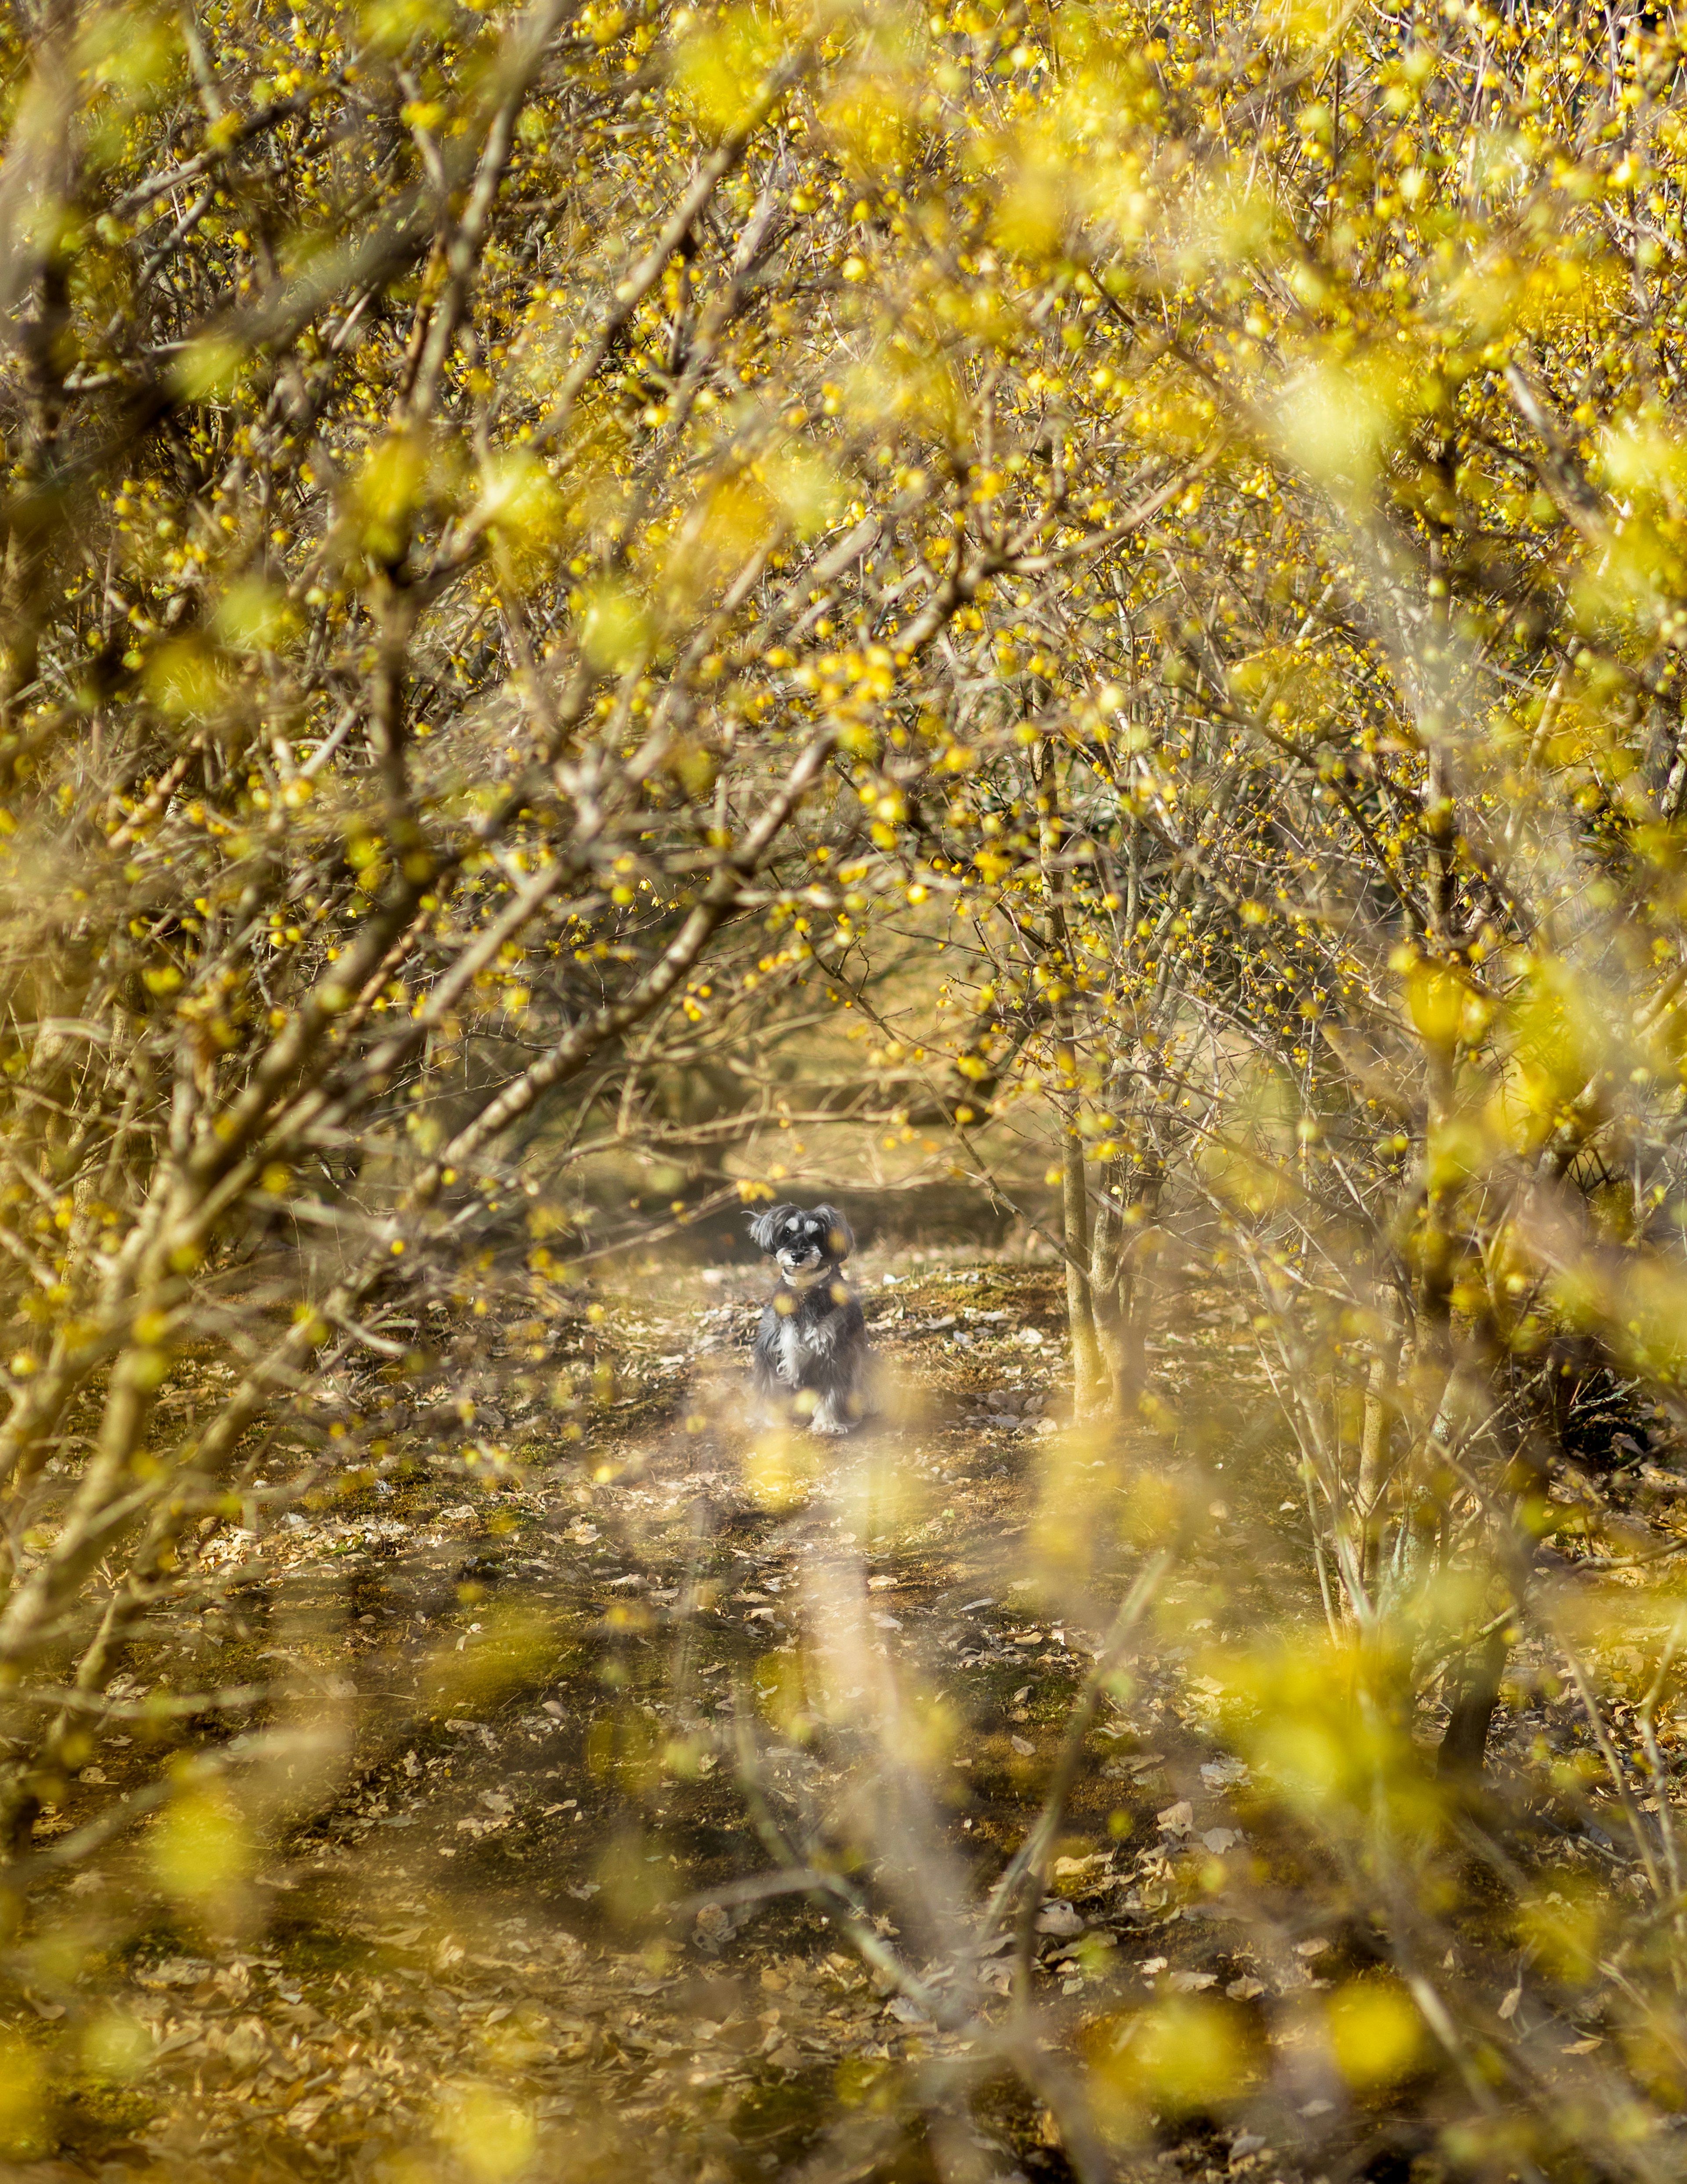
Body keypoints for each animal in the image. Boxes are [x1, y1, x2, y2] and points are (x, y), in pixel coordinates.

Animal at [755, 1197, 877, 1433]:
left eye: (816, 1235)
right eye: (787, 1232)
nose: (797, 1255)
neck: (804, 1289)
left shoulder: (835, 1351)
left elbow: (833, 1392)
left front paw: (829, 1423)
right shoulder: (771, 1348)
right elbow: (768, 1387)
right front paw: (768, 1420)